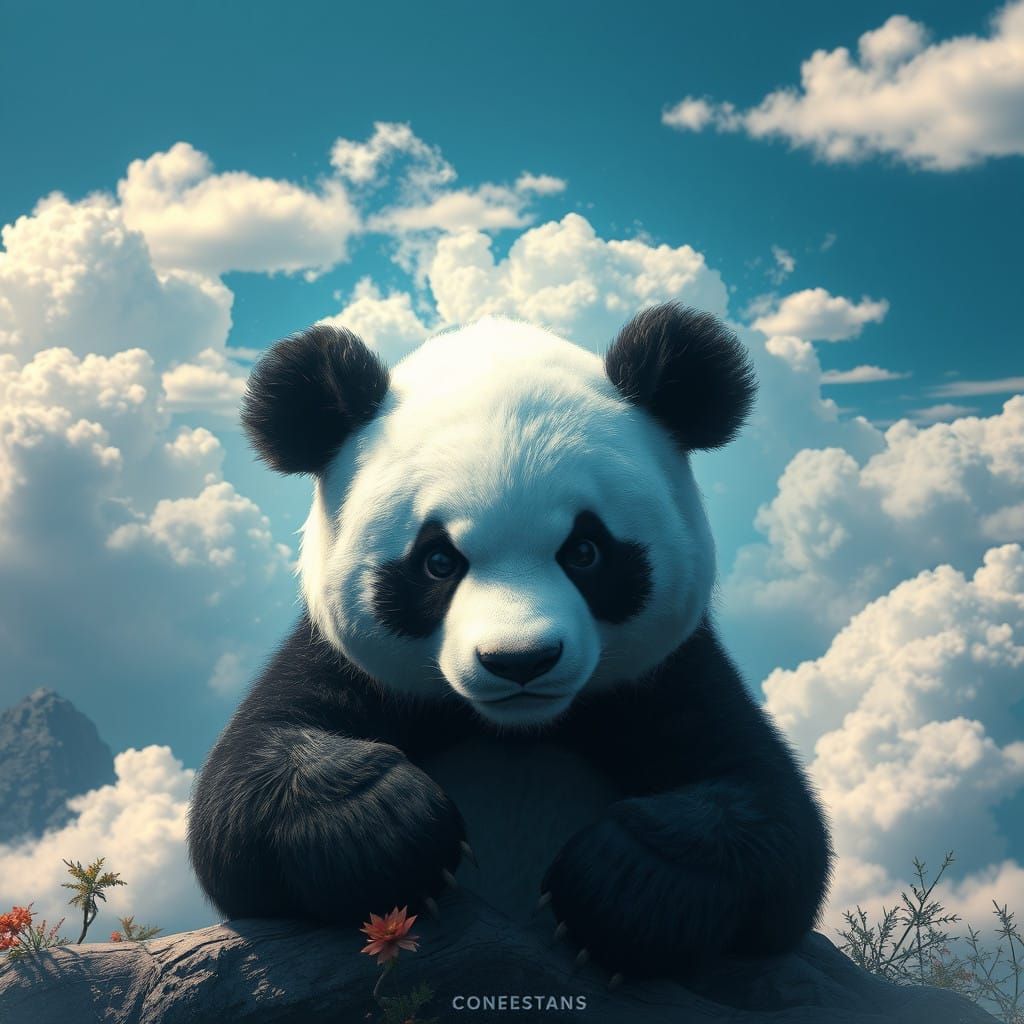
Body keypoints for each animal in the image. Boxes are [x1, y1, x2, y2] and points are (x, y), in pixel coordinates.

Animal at [187, 303, 832, 979]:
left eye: (585, 551)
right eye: (438, 561)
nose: (521, 660)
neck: (517, 732)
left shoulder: (668, 673)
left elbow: (772, 821)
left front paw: (617, 891)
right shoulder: (343, 662)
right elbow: (242, 792)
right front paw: (393, 827)